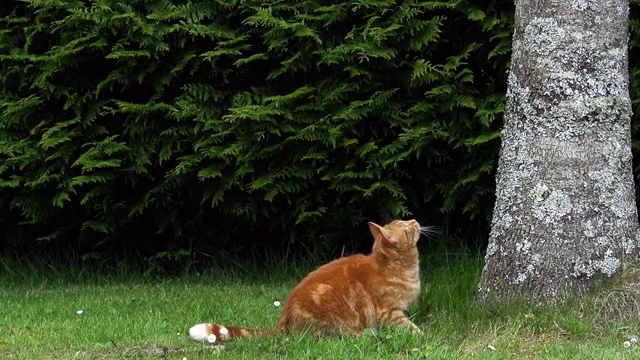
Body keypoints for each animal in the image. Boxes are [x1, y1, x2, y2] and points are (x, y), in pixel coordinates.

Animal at [189, 218, 430, 342]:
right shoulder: (390, 312)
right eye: (406, 226)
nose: (415, 220)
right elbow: (410, 328)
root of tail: (285, 316)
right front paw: (423, 335)